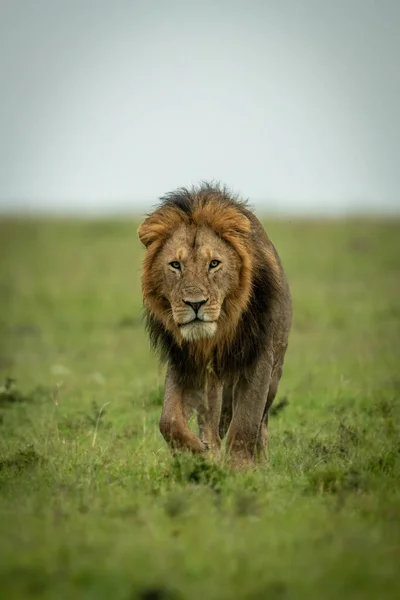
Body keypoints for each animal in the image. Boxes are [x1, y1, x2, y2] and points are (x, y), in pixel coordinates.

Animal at [139, 184, 292, 468]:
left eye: (214, 264)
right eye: (175, 265)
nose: (195, 303)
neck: (214, 337)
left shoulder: (260, 357)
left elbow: (246, 422)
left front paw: (241, 468)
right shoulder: (184, 362)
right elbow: (169, 421)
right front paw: (200, 455)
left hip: (275, 372)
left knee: (262, 418)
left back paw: (262, 458)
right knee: (210, 417)